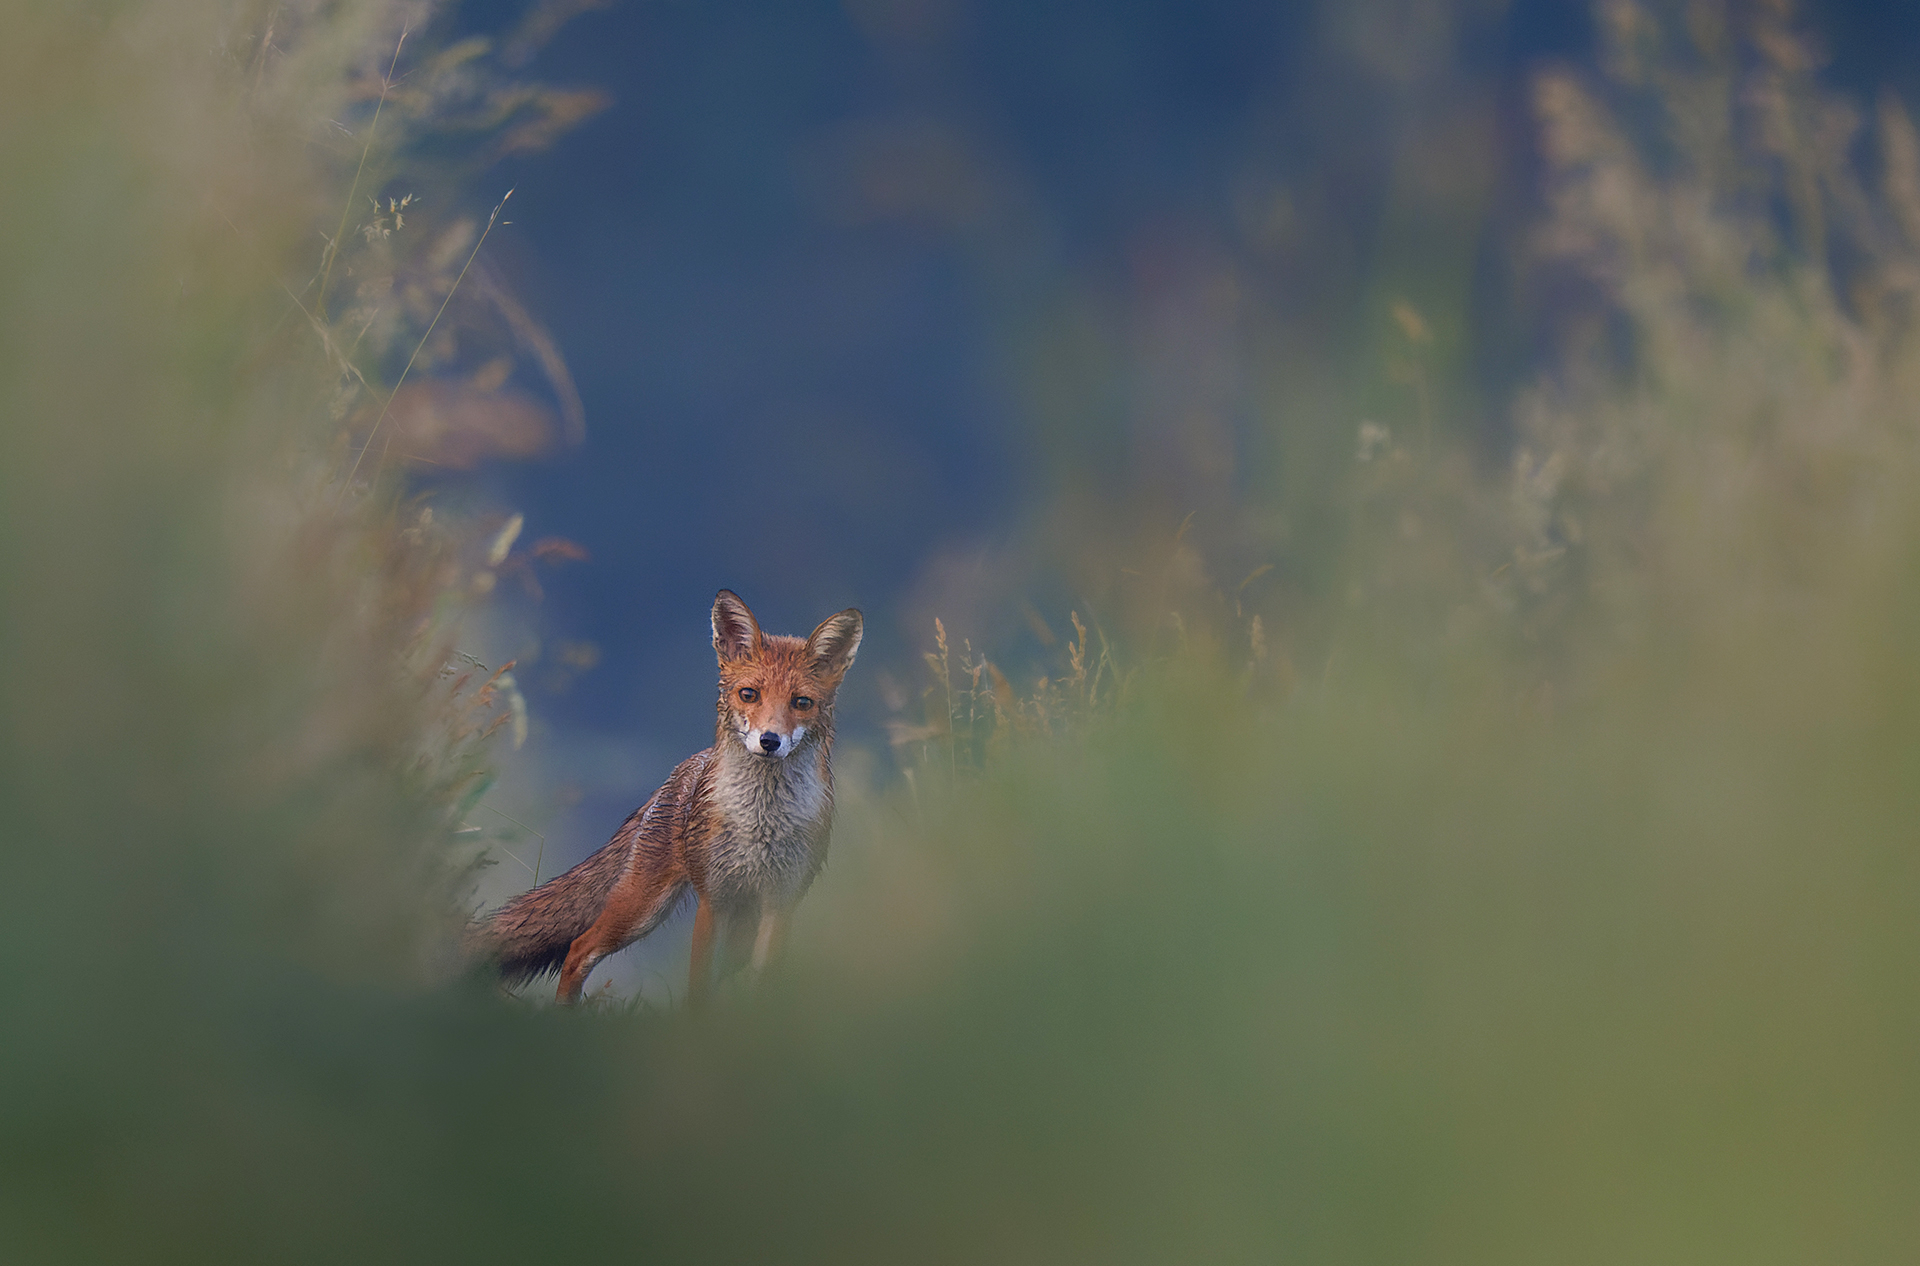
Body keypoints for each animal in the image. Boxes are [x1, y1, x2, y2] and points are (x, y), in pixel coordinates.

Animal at [468, 589, 862, 1005]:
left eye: (801, 703)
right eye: (749, 694)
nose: (769, 740)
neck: (760, 823)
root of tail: (688, 765)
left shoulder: (780, 903)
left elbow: (762, 984)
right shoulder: (714, 900)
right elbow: (699, 987)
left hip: (738, 921)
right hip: (640, 907)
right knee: (578, 950)